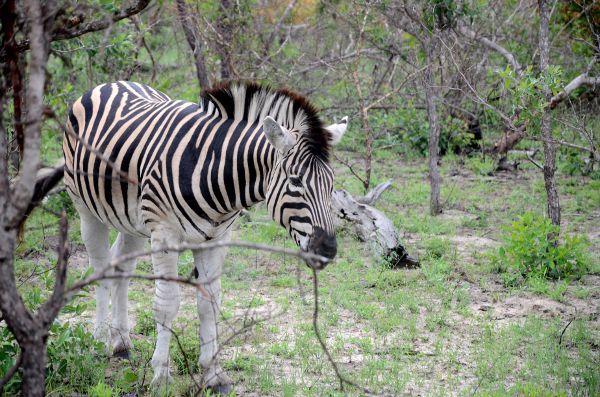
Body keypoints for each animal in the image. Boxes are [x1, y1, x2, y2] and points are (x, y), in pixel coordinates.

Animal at [62, 79, 346, 390]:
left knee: (121, 267)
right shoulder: (164, 235)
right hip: (85, 207)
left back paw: (121, 342)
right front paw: (161, 376)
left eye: (332, 183)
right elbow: (167, 304)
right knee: (100, 268)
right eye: (295, 182)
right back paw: (100, 341)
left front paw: (213, 374)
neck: (217, 175)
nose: (328, 250)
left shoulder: (217, 239)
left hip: (132, 219)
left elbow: (209, 304)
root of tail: (112, 83)